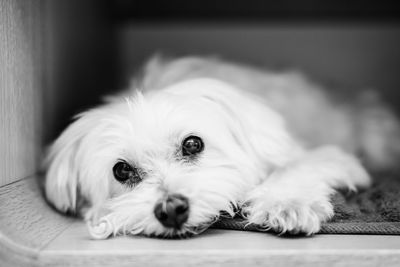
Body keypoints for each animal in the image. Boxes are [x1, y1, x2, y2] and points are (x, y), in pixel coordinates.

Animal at [43, 56, 400, 239]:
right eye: (121, 170)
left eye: (192, 144)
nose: (171, 209)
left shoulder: (323, 154)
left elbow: (296, 166)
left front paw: (287, 203)